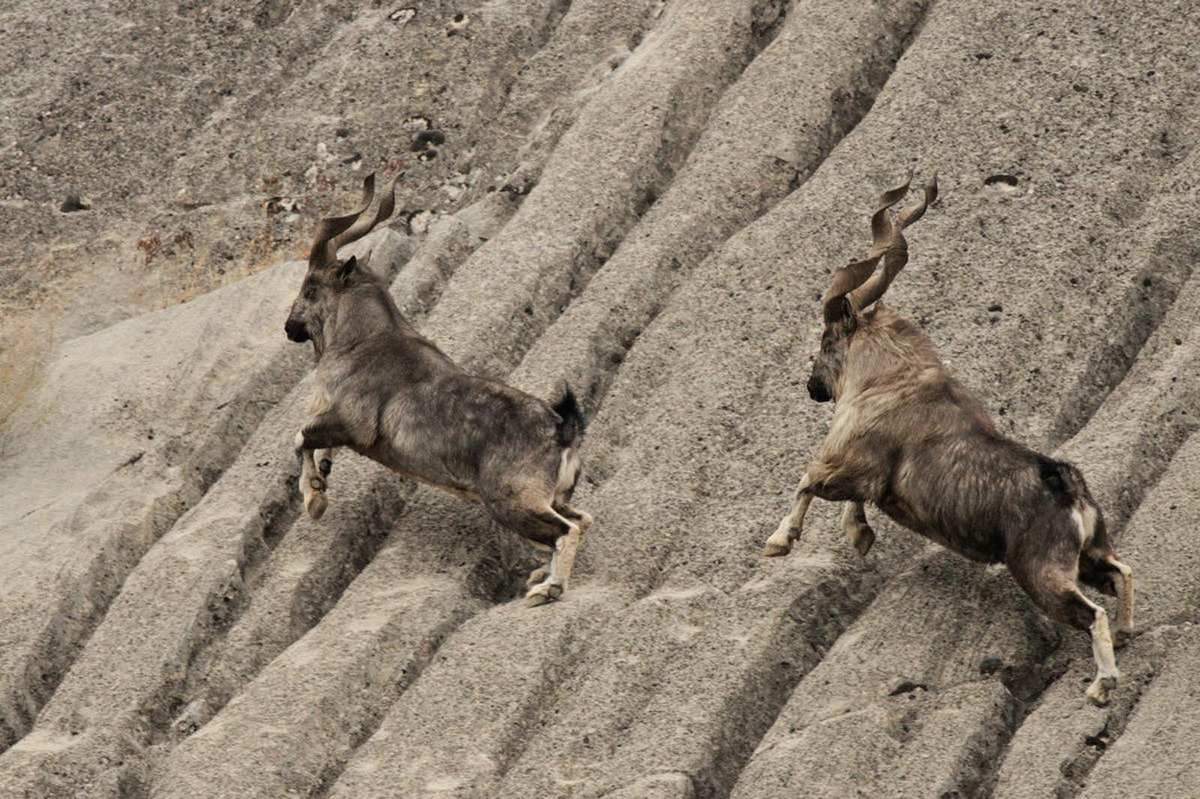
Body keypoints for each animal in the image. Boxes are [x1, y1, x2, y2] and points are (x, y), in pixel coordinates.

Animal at [282, 169, 590, 604]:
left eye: (310, 289)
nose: (289, 328)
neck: (363, 341)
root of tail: (562, 430)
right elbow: (313, 439)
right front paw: (322, 473)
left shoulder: (354, 424)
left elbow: (300, 436)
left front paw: (314, 498)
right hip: (554, 497)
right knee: (584, 519)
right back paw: (538, 576)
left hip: (513, 500)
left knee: (568, 530)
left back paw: (547, 588)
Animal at [768, 173, 1132, 705]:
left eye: (826, 339)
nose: (812, 387)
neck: (893, 379)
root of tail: (1069, 489)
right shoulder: (868, 477)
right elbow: (852, 498)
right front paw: (859, 535)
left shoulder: (849, 460)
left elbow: (808, 480)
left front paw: (779, 542)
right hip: (1089, 555)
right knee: (1121, 574)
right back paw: (1126, 634)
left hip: (1042, 571)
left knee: (1091, 612)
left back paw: (1102, 684)